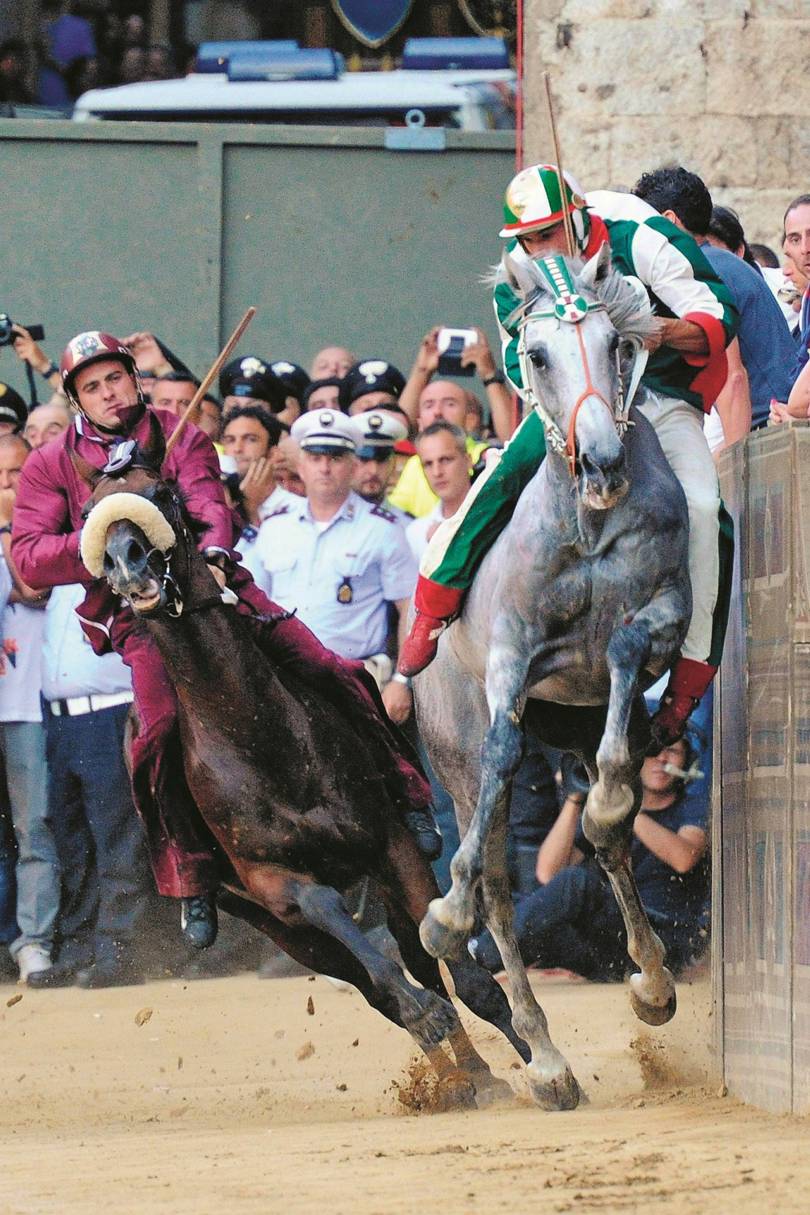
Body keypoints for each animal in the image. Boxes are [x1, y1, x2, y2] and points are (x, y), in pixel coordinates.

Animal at [78, 432, 529, 1108]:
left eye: (164, 492)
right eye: (90, 513)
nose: (128, 566)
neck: (259, 738)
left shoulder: (388, 840)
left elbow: (457, 972)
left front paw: (538, 1063)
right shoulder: (275, 886)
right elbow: (363, 950)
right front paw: (433, 1024)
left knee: (422, 960)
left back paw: (475, 1074)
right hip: (279, 929)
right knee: (379, 986)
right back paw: (453, 1074)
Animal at [417, 246, 689, 1112]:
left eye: (614, 345)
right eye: (535, 354)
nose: (602, 460)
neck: (588, 521)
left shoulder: (666, 609)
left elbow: (628, 642)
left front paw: (602, 797)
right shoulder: (511, 647)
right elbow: (505, 752)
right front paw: (442, 913)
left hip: (574, 721)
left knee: (610, 841)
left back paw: (650, 983)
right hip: (455, 753)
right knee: (501, 879)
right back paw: (545, 1056)